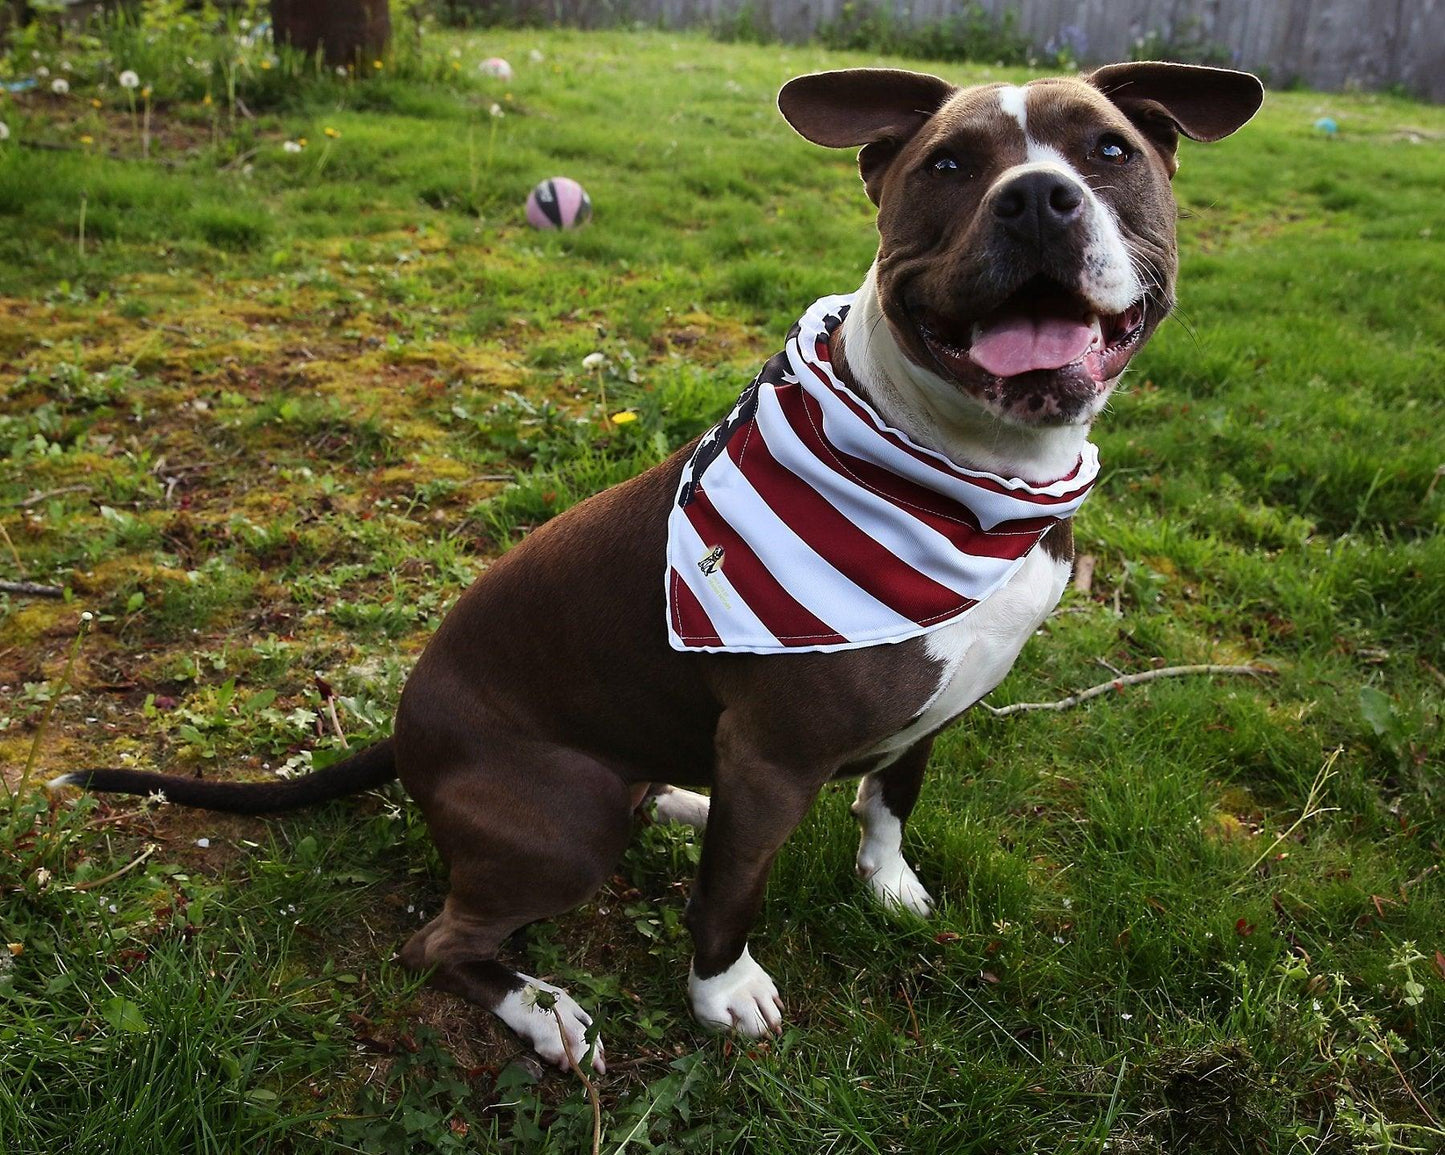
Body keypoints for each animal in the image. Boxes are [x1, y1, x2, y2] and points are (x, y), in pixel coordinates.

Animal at [50, 61, 1260, 1075]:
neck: (970, 483)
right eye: (950, 165)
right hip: (562, 822)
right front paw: (722, 994)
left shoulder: (939, 706)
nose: (1038, 198)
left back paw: (675, 796)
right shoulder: (771, 755)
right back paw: (542, 1008)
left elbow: (888, 799)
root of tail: (403, 734)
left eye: (1107, 150)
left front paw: (888, 884)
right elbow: (727, 895)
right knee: (440, 939)